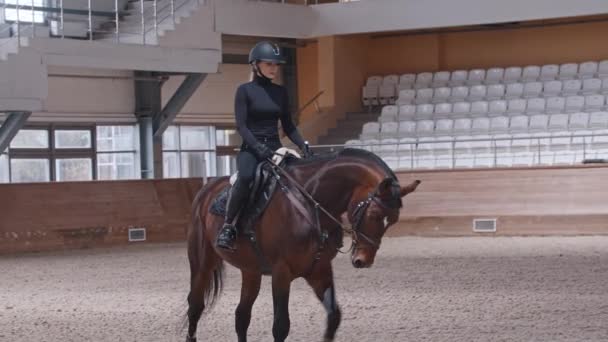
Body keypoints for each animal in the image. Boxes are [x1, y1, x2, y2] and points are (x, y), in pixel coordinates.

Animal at [185, 149, 420, 342]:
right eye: (374, 214)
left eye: (393, 220)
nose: (363, 260)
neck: (309, 204)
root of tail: (207, 188)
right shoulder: (281, 272)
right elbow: (281, 326)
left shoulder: (319, 270)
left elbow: (334, 317)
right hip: (202, 263)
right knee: (195, 307)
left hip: (251, 270)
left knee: (241, 316)